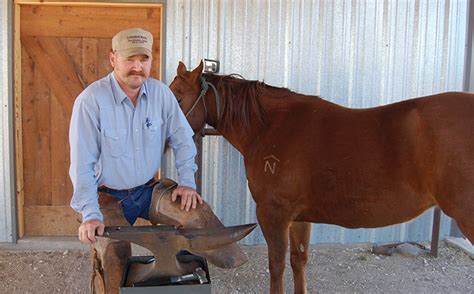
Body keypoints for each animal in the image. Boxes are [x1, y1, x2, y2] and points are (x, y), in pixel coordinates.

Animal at [171, 60, 474, 292]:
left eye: (177, 96)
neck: (271, 127)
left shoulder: (274, 213)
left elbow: (277, 265)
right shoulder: (300, 217)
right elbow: (299, 261)